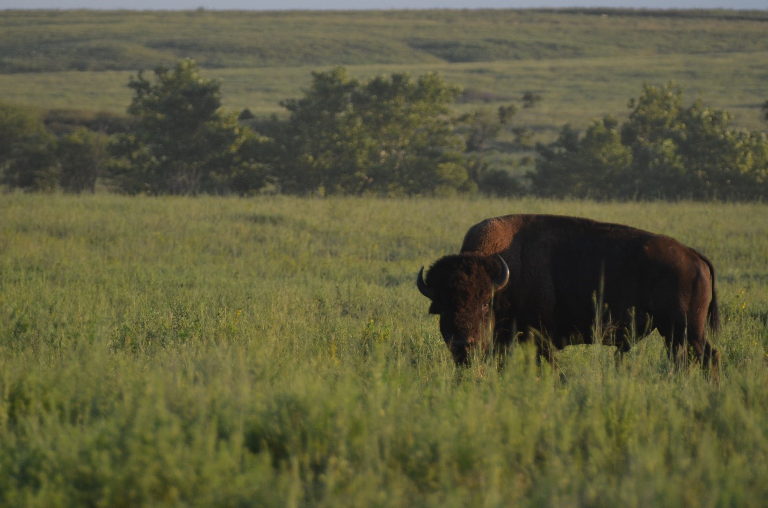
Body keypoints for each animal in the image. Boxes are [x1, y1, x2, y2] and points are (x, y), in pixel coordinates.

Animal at [417, 214, 720, 374]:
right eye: (443, 307)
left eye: (483, 305)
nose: (463, 346)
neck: (504, 277)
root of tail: (694, 256)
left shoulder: (538, 338)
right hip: (672, 333)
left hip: (688, 330)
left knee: (709, 357)